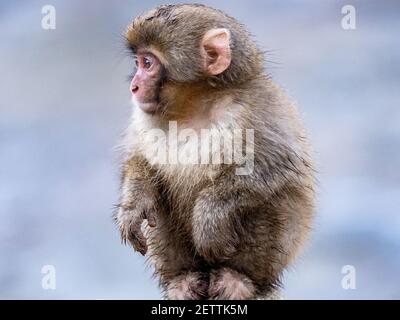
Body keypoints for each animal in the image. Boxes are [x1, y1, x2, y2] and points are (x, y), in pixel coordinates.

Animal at [115, 3, 316, 300]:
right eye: (137, 62)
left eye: (147, 63)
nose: (134, 87)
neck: (196, 106)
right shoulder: (143, 117)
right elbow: (140, 159)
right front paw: (132, 204)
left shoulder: (259, 106)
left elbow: (276, 167)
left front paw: (209, 216)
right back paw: (183, 280)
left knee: (275, 198)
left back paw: (238, 279)